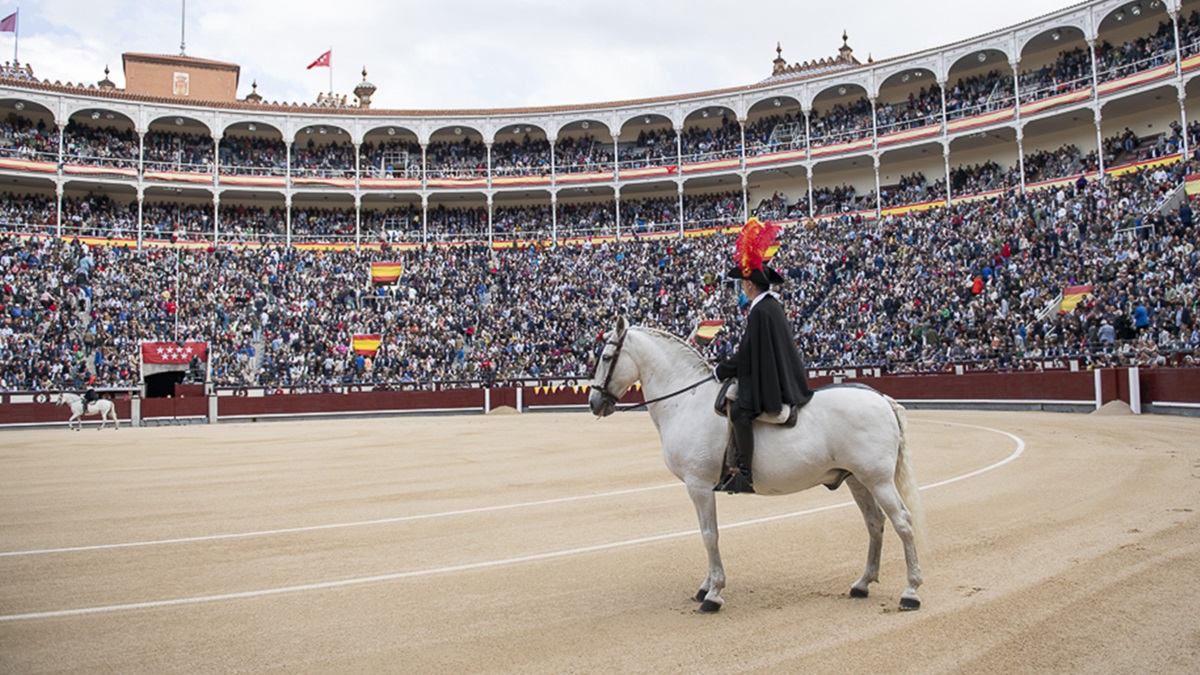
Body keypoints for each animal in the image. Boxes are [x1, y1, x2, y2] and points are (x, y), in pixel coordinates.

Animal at [590, 317, 926, 612]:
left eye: (606, 356)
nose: (594, 403)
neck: (686, 400)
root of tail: (882, 398)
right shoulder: (701, 487)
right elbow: (707, 533)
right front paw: (706, 585)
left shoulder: (699, 485)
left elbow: (709, 535)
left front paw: (714, 593)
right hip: (857, 480)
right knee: (874, 523)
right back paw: (863, 583)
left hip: (878, 480)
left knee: (903, 523)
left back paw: (910, 591)